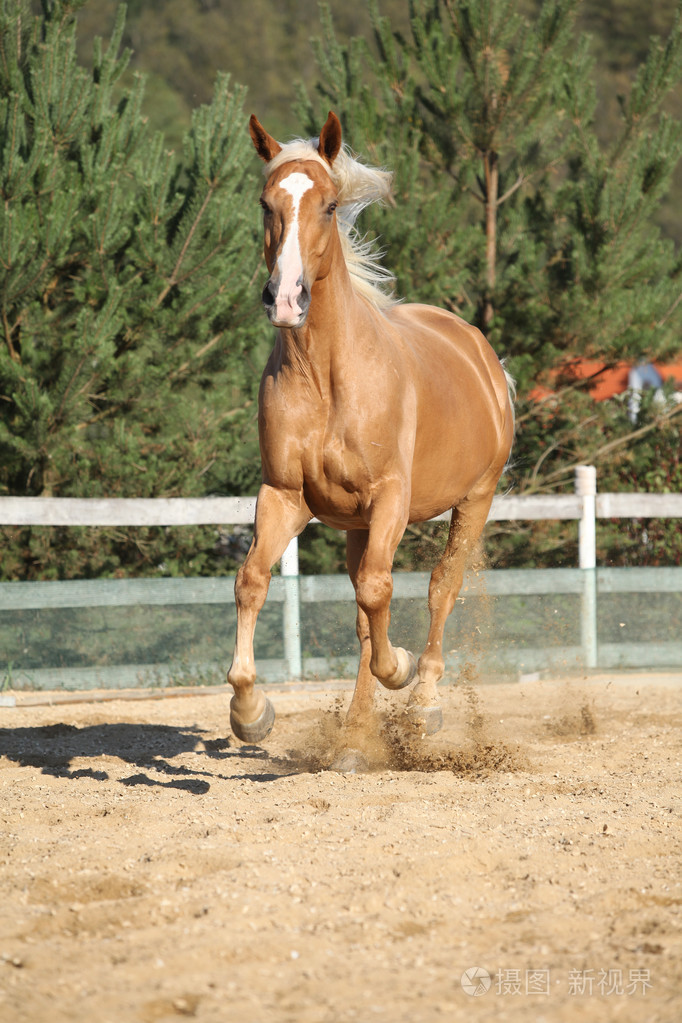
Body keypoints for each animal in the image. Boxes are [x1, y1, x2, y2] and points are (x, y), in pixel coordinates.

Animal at [226, 112, 515, 765]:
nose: (285, 299)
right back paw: (355, 742)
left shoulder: (391, 499)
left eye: (330, 205)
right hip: (356, 525)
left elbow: (385, 595)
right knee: (363, 611)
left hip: (475, 499)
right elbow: (253, 580)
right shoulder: (283, 495)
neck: (327, 378)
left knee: (440, 590)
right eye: (265, 203)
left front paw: (401, 669)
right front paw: (250, 711)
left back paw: (424, 703)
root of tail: (480, 353)